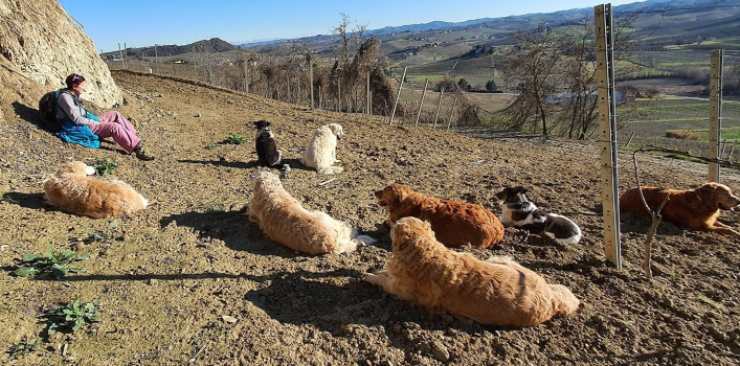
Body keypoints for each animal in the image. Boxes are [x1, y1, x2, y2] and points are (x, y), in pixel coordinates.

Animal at [368, 216, 580, 328]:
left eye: (396, 225)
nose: (388, 223)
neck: (425, 252)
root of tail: (553, 300)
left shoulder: (399, 289)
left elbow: (382, 279)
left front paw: (369, 275)